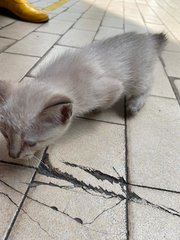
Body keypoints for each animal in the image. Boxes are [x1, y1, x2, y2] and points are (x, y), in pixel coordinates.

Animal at [0, 31, 166, 159]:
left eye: (31, 143)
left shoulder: (113, 87)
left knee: (148, 85)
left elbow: (108, 100)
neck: (60, 77)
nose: (12, 156)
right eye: (6, 135)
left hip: (138, 78)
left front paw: (96, 110)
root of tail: (149, 39)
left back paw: (134, 105)